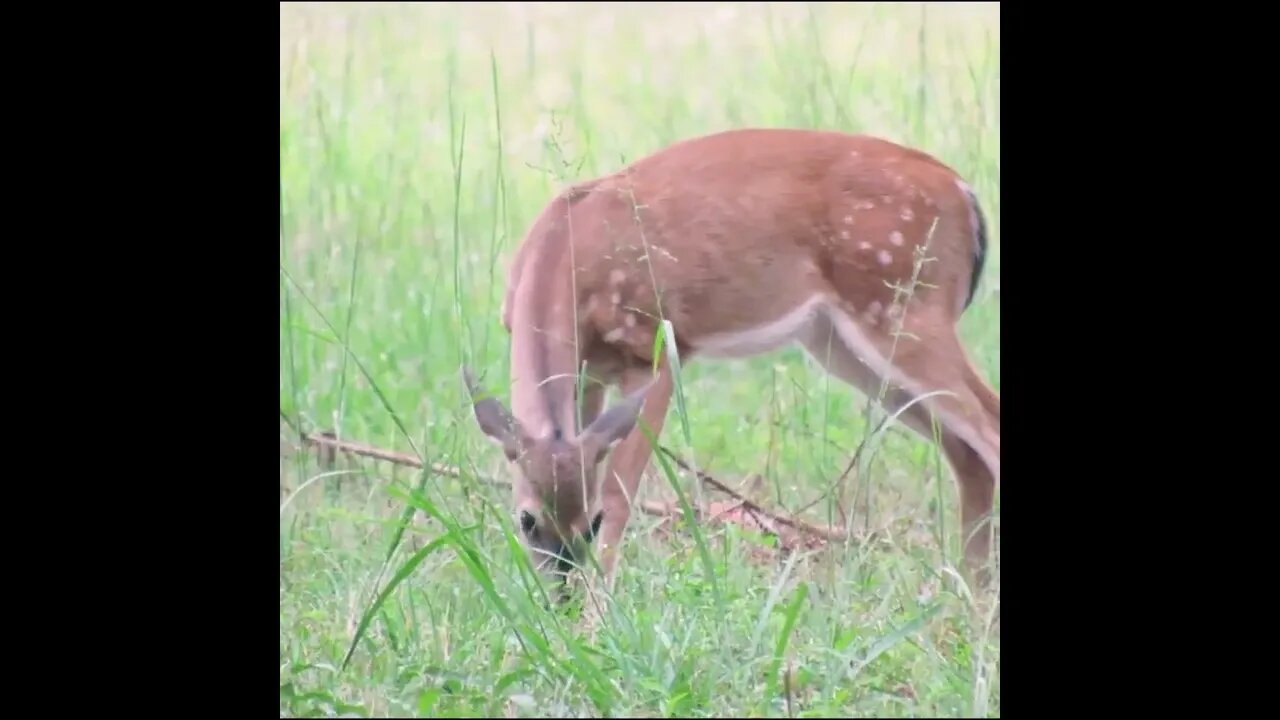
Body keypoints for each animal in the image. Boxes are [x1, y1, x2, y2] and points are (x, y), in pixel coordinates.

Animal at [464, 127, 999, 604]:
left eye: (589, 526)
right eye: (526, 520)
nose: (561, 597)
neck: (561, 256)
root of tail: (964, 194)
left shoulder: (656, 346)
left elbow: (620, 491)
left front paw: (599, 617)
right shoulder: (590, 372)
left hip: (905, 307)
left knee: (988, 429)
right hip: (841, 343)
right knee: (966, 456)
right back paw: (966, 605)